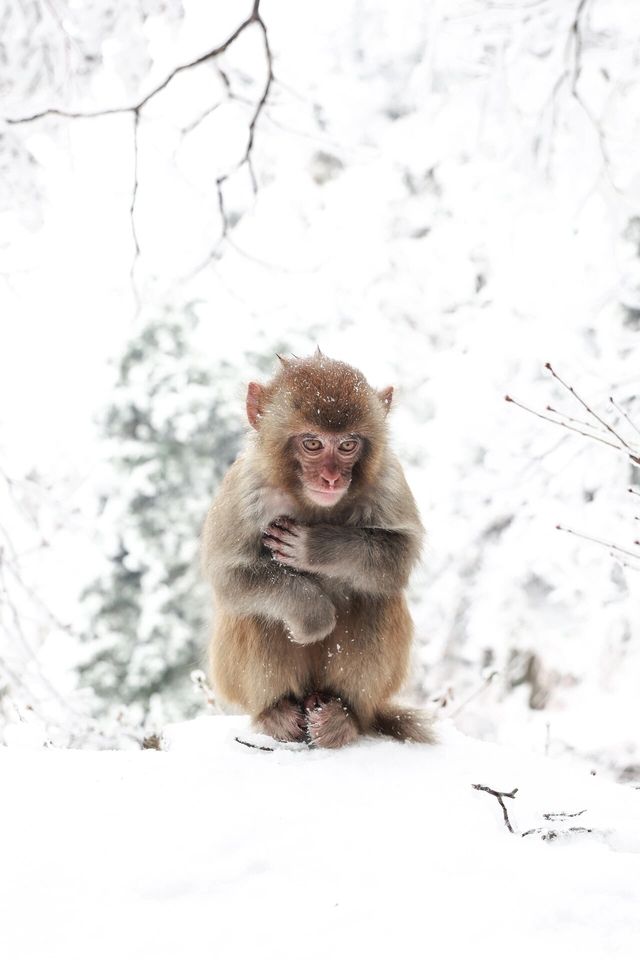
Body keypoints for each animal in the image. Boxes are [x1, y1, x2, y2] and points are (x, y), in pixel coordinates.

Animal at [200, 352, 436, 752]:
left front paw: (318, 544)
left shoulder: (387, 478)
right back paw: (276, 713)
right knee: (257, 609)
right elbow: (228, 575)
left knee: (377, 595)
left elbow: (399, 554)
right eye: (312, 444)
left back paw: (343, 716)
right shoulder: (245, 488)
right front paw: (313, 615)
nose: (331, 478)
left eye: (347, 445)